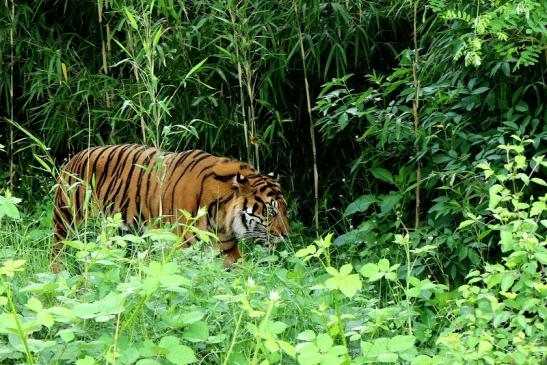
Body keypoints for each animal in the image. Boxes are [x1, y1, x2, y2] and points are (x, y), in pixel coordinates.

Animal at [52, 143, 292, 268]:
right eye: (271, 211)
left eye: (284, 209)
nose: (287, 236)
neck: (222, 216)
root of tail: (74, 157)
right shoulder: (182, 247)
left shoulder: (228, 251)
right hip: (66, 222)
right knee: (56, 253)